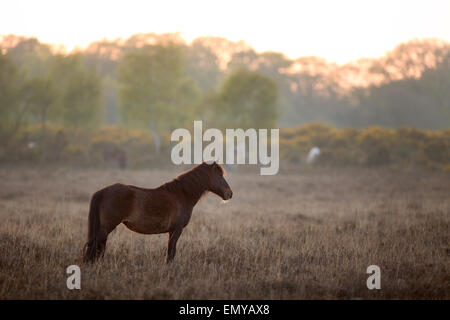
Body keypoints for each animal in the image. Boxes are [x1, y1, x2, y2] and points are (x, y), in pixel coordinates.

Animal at [82, 161, 234, 264]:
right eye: (220, 175)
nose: (230, 194)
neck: (182, 195)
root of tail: (102, 192)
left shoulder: (171, 231)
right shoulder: (177, 229)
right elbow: (171, 252)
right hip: (105, 229)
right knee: (96, 249)